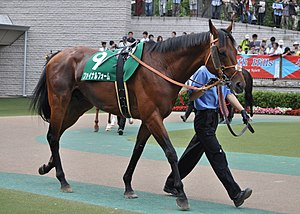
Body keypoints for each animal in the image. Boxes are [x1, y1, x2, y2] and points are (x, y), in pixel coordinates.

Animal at [31, 20, 246, 211]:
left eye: (236, 52)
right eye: (222, 52)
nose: (239, 83)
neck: (161, 66)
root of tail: (57, 55)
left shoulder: (149, 119)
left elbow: (138, 150)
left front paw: (128, 186)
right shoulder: (152, 116)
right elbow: (170, 152)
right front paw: (182, 195)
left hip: (77, 106)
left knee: (56, 134)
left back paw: (47, 166)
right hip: (60, 102)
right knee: (53, 136)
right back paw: (63, 179)